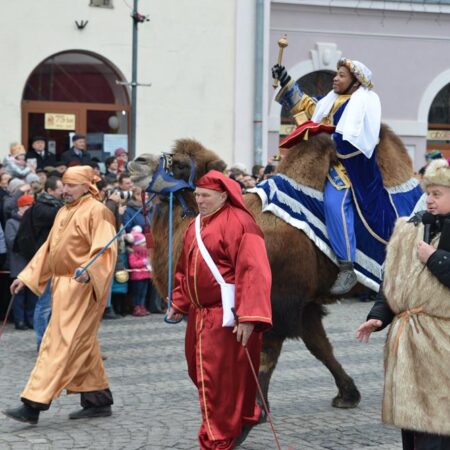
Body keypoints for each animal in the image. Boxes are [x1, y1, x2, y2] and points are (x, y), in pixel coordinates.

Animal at [129, 125, 418, 412]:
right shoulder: (305, 305)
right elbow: (320, 347)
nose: (137, 162)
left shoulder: (277, 301)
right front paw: (348, 394)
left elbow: (268, 354)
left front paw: (256, 407)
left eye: (179, 164)